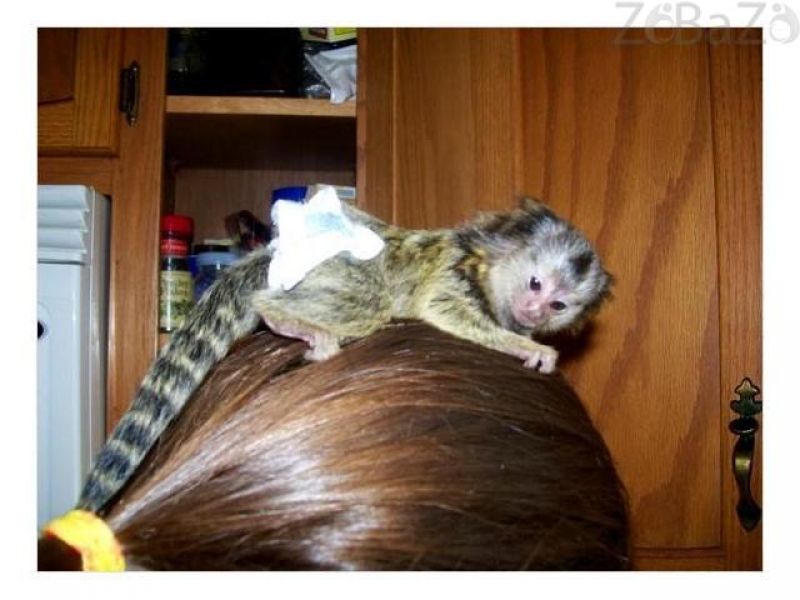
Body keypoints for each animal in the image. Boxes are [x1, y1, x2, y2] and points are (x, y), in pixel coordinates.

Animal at [77, 198, 612, 513]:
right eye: (535, 283)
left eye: (559, 304)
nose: (533, 310)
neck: (488, 267)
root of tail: (271, 256)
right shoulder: (453, 275)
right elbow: (443, 307)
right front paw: (528, 346)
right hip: (341, 275)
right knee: (358, 300)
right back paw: (283, 317)